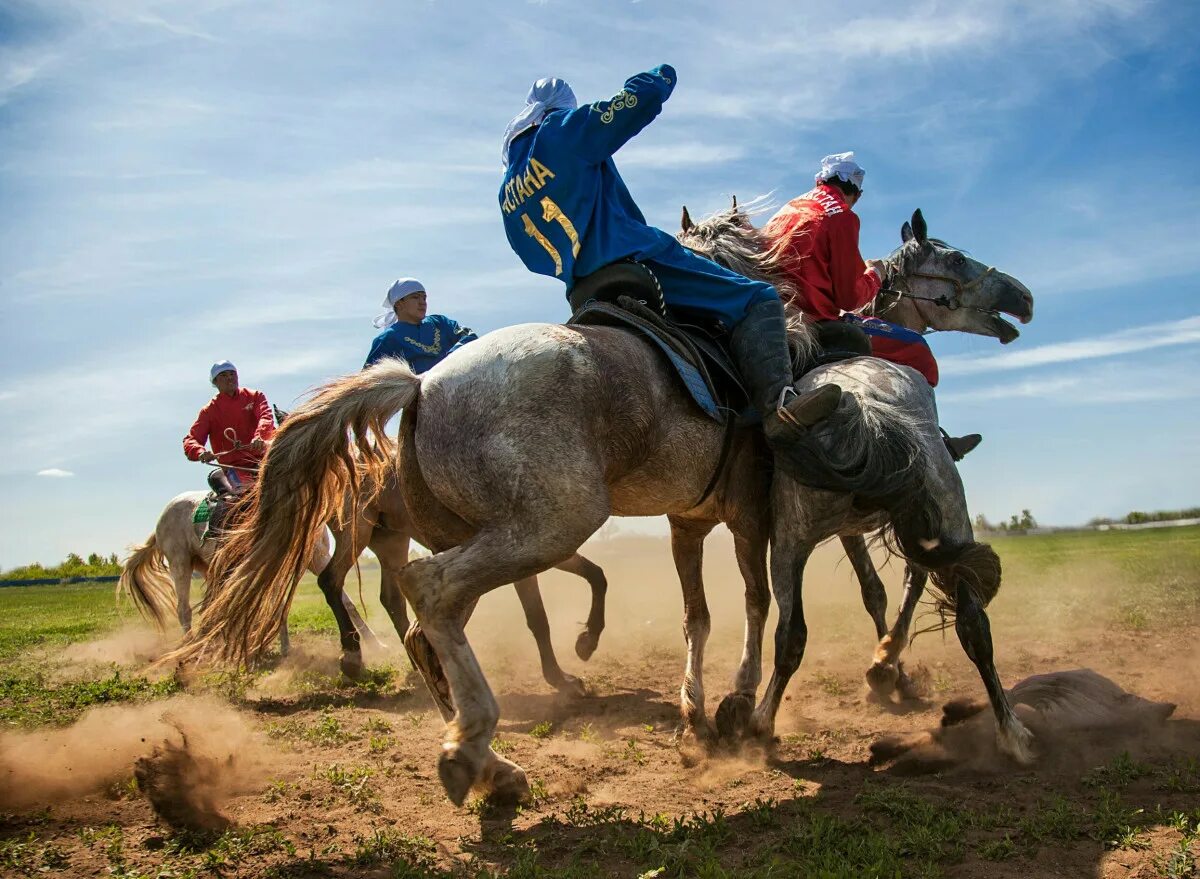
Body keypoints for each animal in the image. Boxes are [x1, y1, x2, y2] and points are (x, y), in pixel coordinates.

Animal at [120, 489, 374, 658]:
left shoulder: (317, 557)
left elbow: (345, 601)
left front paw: (375, 643)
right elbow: (276, 607)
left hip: (209, 568)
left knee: (213, 606)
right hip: (180, 563)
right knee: (184, 609)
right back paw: (191, 646)